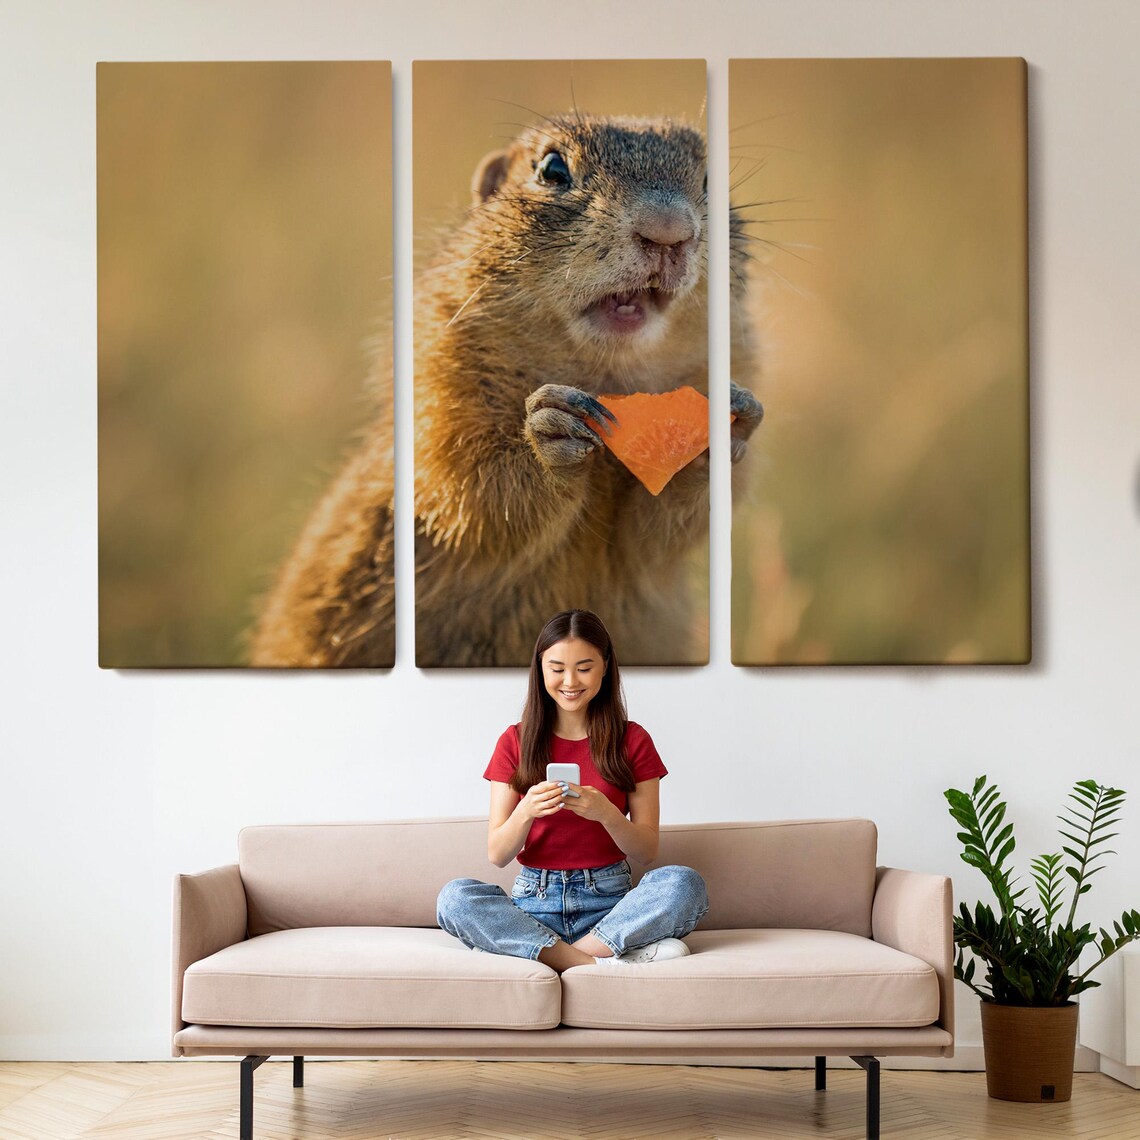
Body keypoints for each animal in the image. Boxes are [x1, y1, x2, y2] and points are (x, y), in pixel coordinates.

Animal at [249, 113, 761, 668]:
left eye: (709, 179)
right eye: (552, 168)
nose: (669, 231)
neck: (607, 374)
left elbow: (654, 537)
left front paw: (724, 429)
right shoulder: (439, 389)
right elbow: (473, 489)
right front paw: (551, 431)